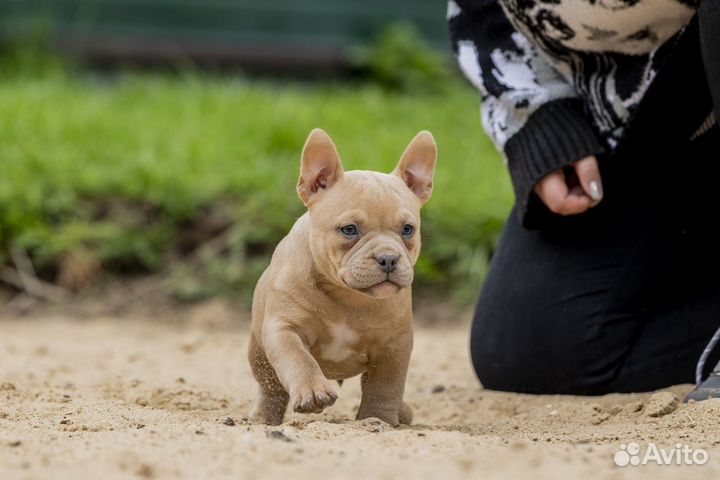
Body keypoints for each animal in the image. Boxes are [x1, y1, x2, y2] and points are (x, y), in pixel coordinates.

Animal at [248, 128, 438, 428]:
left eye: (408, 230)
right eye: (349, 230)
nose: (388, 258)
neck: (346, 296)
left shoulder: (394, 346)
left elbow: (386, 386)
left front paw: (378, 419)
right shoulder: (284, 328)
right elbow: (299, 359)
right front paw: (313, 391)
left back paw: (402, 412)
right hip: (258, 353)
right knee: (271, 386)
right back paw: (264, 418)